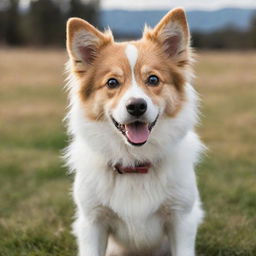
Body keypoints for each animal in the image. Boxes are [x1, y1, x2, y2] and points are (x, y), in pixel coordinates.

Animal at [65, 7, 204, 256]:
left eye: (153, 79)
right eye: (112, 82)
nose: (137, 106)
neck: (134, 163)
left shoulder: (181, 218)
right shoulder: (93, 221)